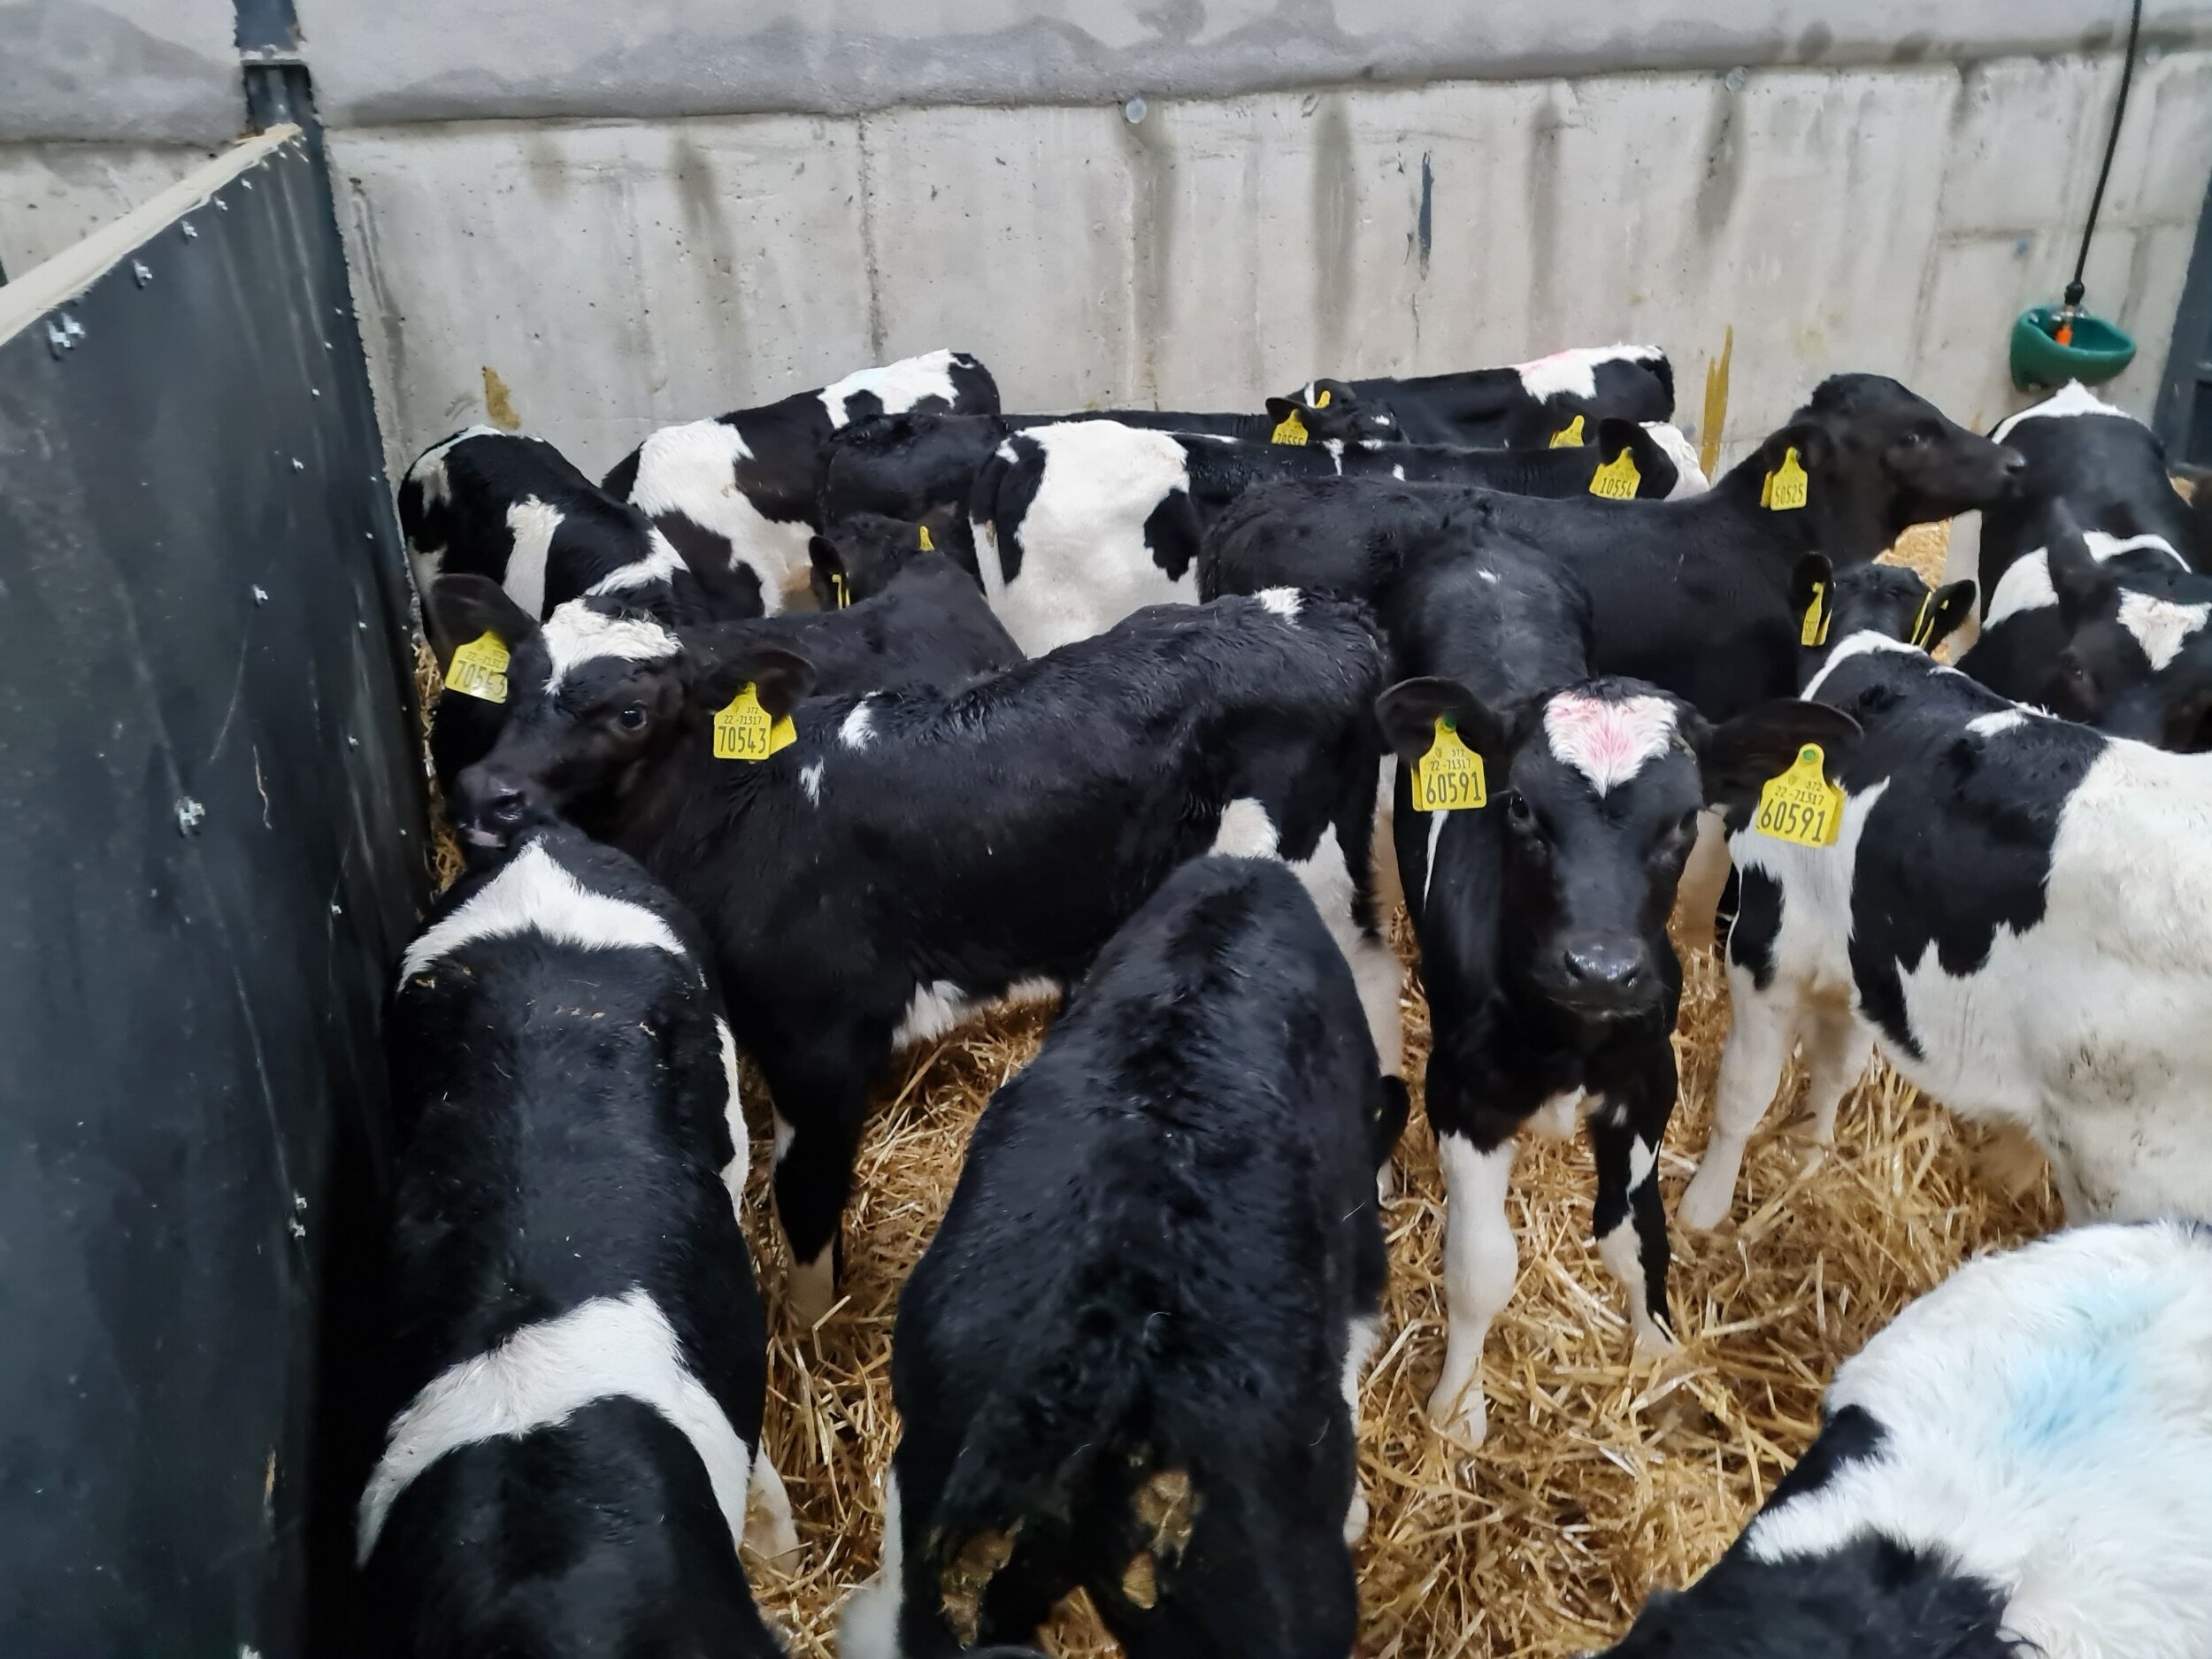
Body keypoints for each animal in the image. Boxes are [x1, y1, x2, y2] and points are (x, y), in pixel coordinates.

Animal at [448, 593, 1403, 1326]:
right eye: (515, 681)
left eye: (629, 714)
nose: (488, 796)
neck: (744, 804)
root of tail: (1330, 618)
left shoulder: (817, 1044)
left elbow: (806, 1199)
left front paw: (814, 1334)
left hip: (1305, 866)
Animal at [1372, 532, 1858, 1441]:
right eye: (1518, 806)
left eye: (1684, 819)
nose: (1600, 967)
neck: (1570, 1040)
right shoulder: (1461, 1095)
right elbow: (1480, 1266)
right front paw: (1458, 1409)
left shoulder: (1646, 1080)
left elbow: (1635, 1237)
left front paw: (1659, 1356)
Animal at [1680, 629, 2212, 1234]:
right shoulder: (1859, 956)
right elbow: (1832, 1069)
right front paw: (1803, 1160)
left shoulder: (1771, 937)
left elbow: (1746, 1091)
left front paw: (1702, 1210)